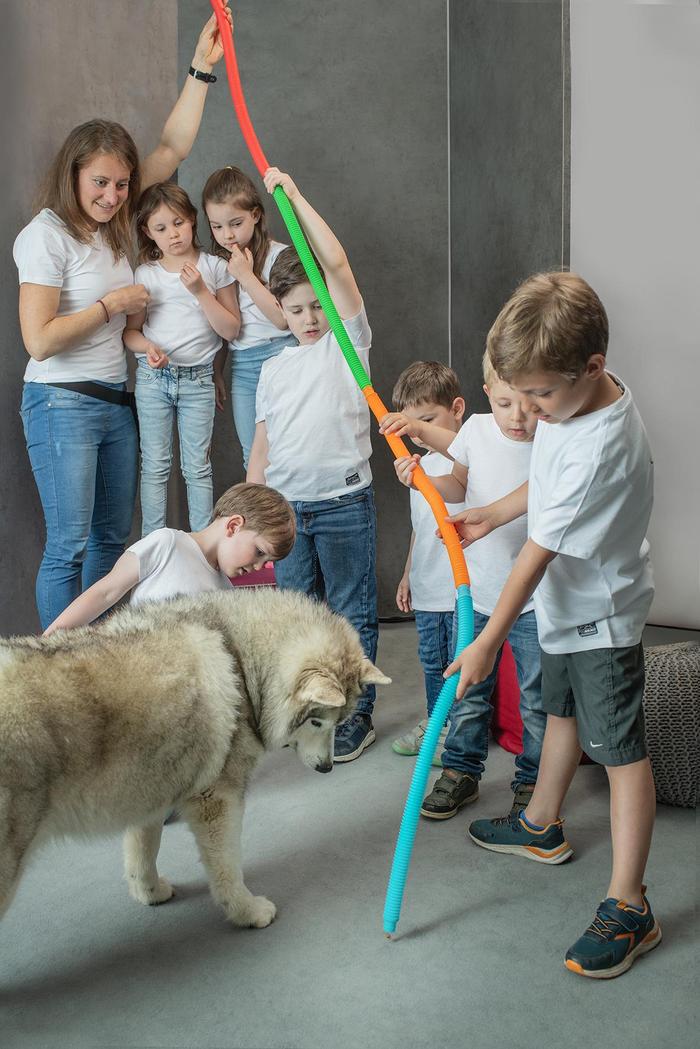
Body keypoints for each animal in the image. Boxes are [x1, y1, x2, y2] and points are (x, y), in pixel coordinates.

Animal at [0, 591, 388, 927]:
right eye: (317, 721)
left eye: (341, 721)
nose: (326, 767)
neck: (240, 661)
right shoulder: (218, 801)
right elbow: (228, 867)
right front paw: (246, 912)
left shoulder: (151, 793)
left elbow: (142, 856)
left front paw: (149, 892)